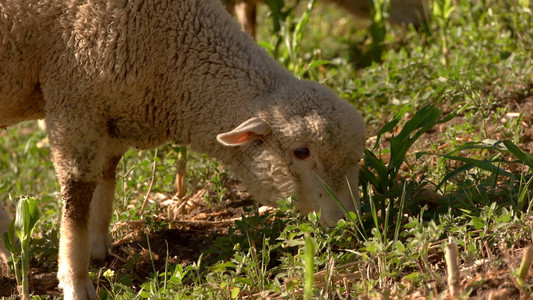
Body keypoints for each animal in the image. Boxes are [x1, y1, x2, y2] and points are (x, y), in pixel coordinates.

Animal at [0, 0, 364, 298]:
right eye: (302, 152)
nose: (351, 224)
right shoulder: (74, 103)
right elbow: (75, 203)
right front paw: (76, 282)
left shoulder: (112, 113)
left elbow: (106, 179)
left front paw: (98, 247)